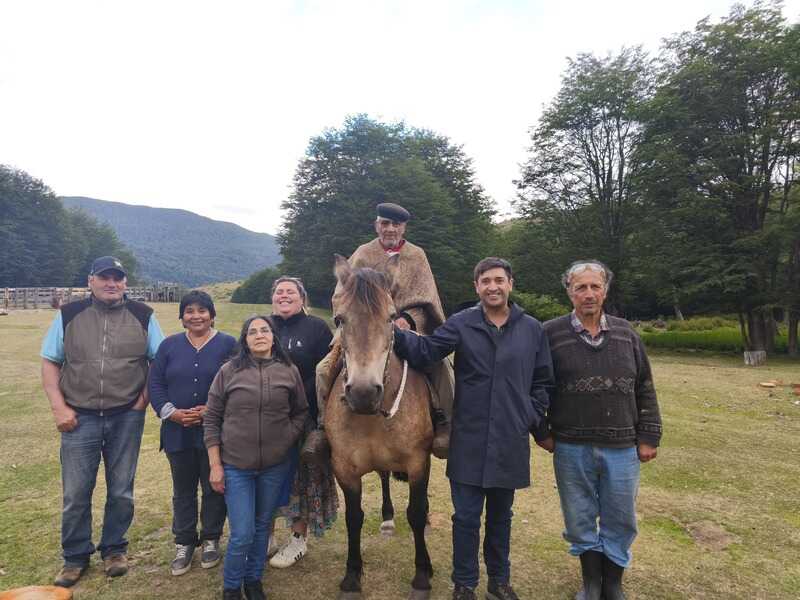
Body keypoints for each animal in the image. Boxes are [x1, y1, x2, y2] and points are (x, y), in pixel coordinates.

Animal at [325, 254, 434, 600]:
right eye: (339, 319)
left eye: (391, 318)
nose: (362, 393)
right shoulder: (344, 468)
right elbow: (353, 518)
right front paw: (352, 576)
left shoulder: (418, 462)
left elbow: (415, 513)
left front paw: (422, 575)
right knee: (384, 474)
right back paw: (386, 518)